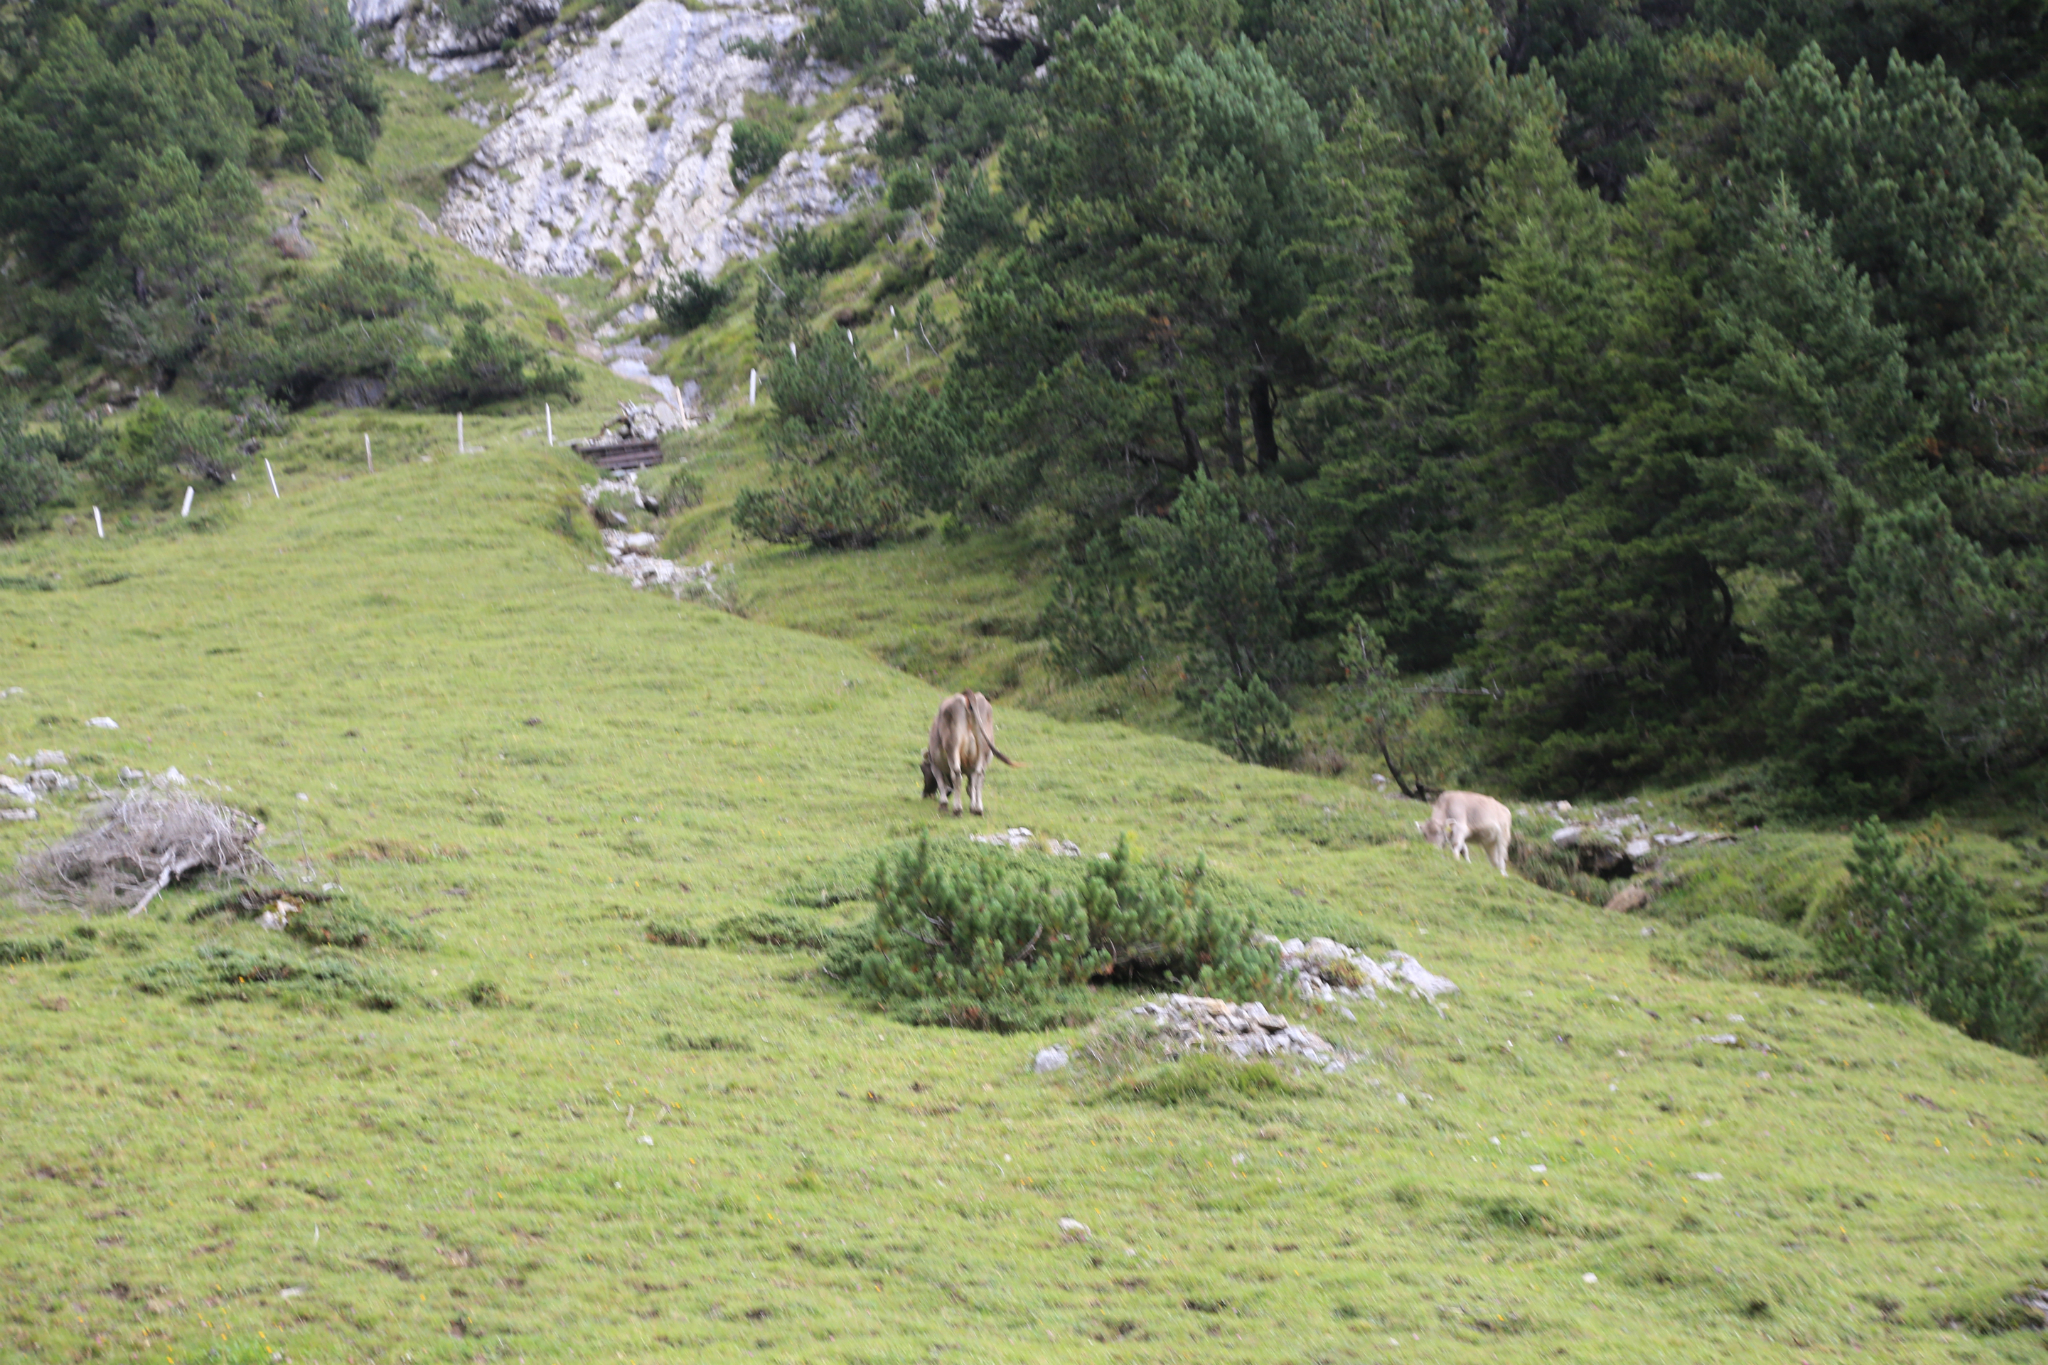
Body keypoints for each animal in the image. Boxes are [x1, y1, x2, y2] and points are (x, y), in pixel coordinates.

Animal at [925, 687, 1019, 818]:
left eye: (923, 771)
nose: (925, 794)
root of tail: (966, 695)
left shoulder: (935, 764)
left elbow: (941, 783)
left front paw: (943, 804)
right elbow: (971, 786)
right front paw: (973, 806)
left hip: (953, 745)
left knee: (957, 774)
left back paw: (957, 810)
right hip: (983, 748)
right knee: (979, 775)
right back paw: (978, 810)